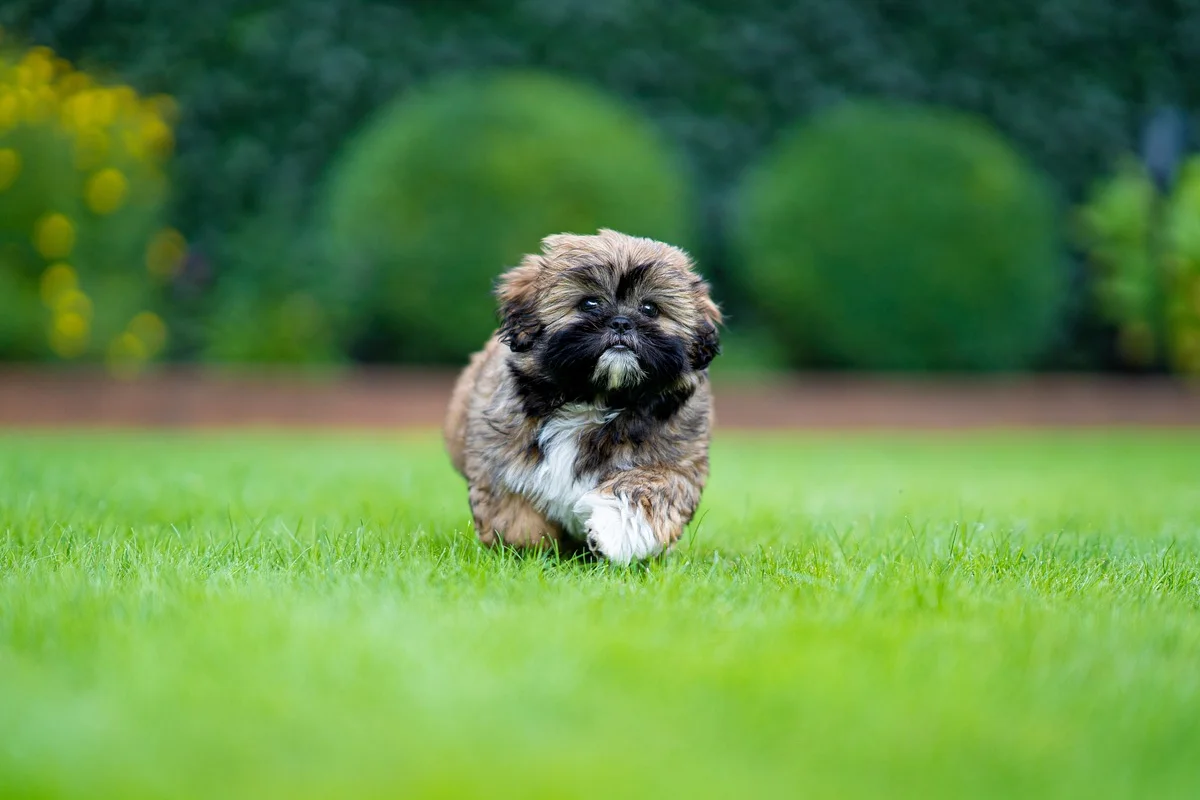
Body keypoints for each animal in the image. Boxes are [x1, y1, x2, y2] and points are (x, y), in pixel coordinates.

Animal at [444, 227, 715, 566]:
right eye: (589, 304)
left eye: (650, 309)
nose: (622, 322)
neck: (595, 399)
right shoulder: (498, 459)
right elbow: (513, 514)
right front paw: (527, 550)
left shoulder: (673, 465)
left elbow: (644, 493)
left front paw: (611, 532)